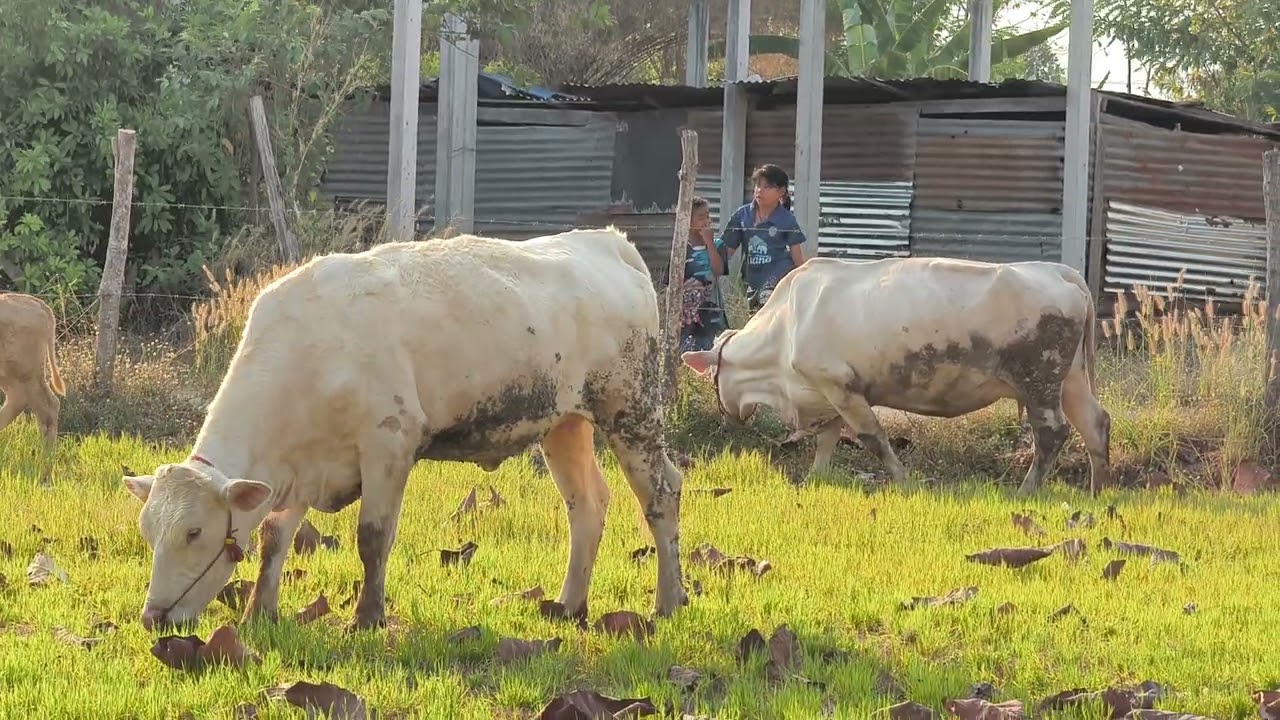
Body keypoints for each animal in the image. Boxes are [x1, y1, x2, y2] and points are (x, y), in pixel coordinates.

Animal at [122, 227, 689, 633]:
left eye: (194, 532)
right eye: (148, 531)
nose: (153, 620)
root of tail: (608, 241)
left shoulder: (388, 445)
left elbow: (372, 537)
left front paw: (366, 618)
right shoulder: (300, 468)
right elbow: (273, 536)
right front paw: (260, 611)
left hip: (631, 410)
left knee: (661, 494)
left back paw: (667, 601)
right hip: (564, 424)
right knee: (587, 505)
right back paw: (569, 605)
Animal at [681, 256, 1110, 497]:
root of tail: (1059, 272)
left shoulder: (842, 386)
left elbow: (872, 438)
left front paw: (903, 479)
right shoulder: (829, 391)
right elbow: (827, 439)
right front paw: (816, 476)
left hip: (1039, 379)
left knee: (1052, 432)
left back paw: (1026, 490)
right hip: (1070, 379)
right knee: (1095, 423)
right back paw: (1098, 490)